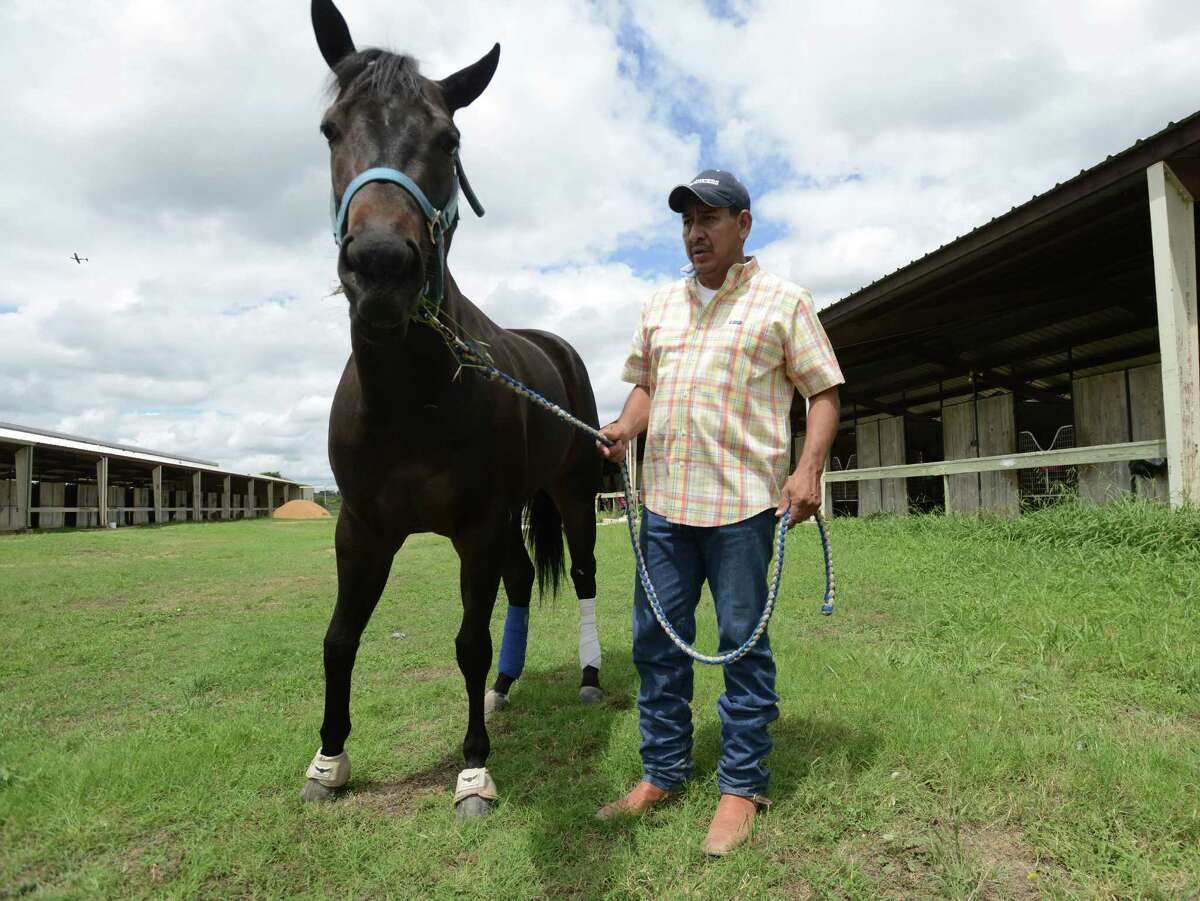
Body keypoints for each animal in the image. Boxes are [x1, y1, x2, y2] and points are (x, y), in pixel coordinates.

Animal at [301, 0, 604, 818]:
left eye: (450, 138)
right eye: (331, 128)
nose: (381, 267)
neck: (413, 399)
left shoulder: (476, 528)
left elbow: (468, 640)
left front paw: (473, 770)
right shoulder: (361, 529)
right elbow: (339, 638)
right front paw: (328, 759)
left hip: (573, 496)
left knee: (585, 576)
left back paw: (589, 676)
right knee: (524, 583)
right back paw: (504, 687)